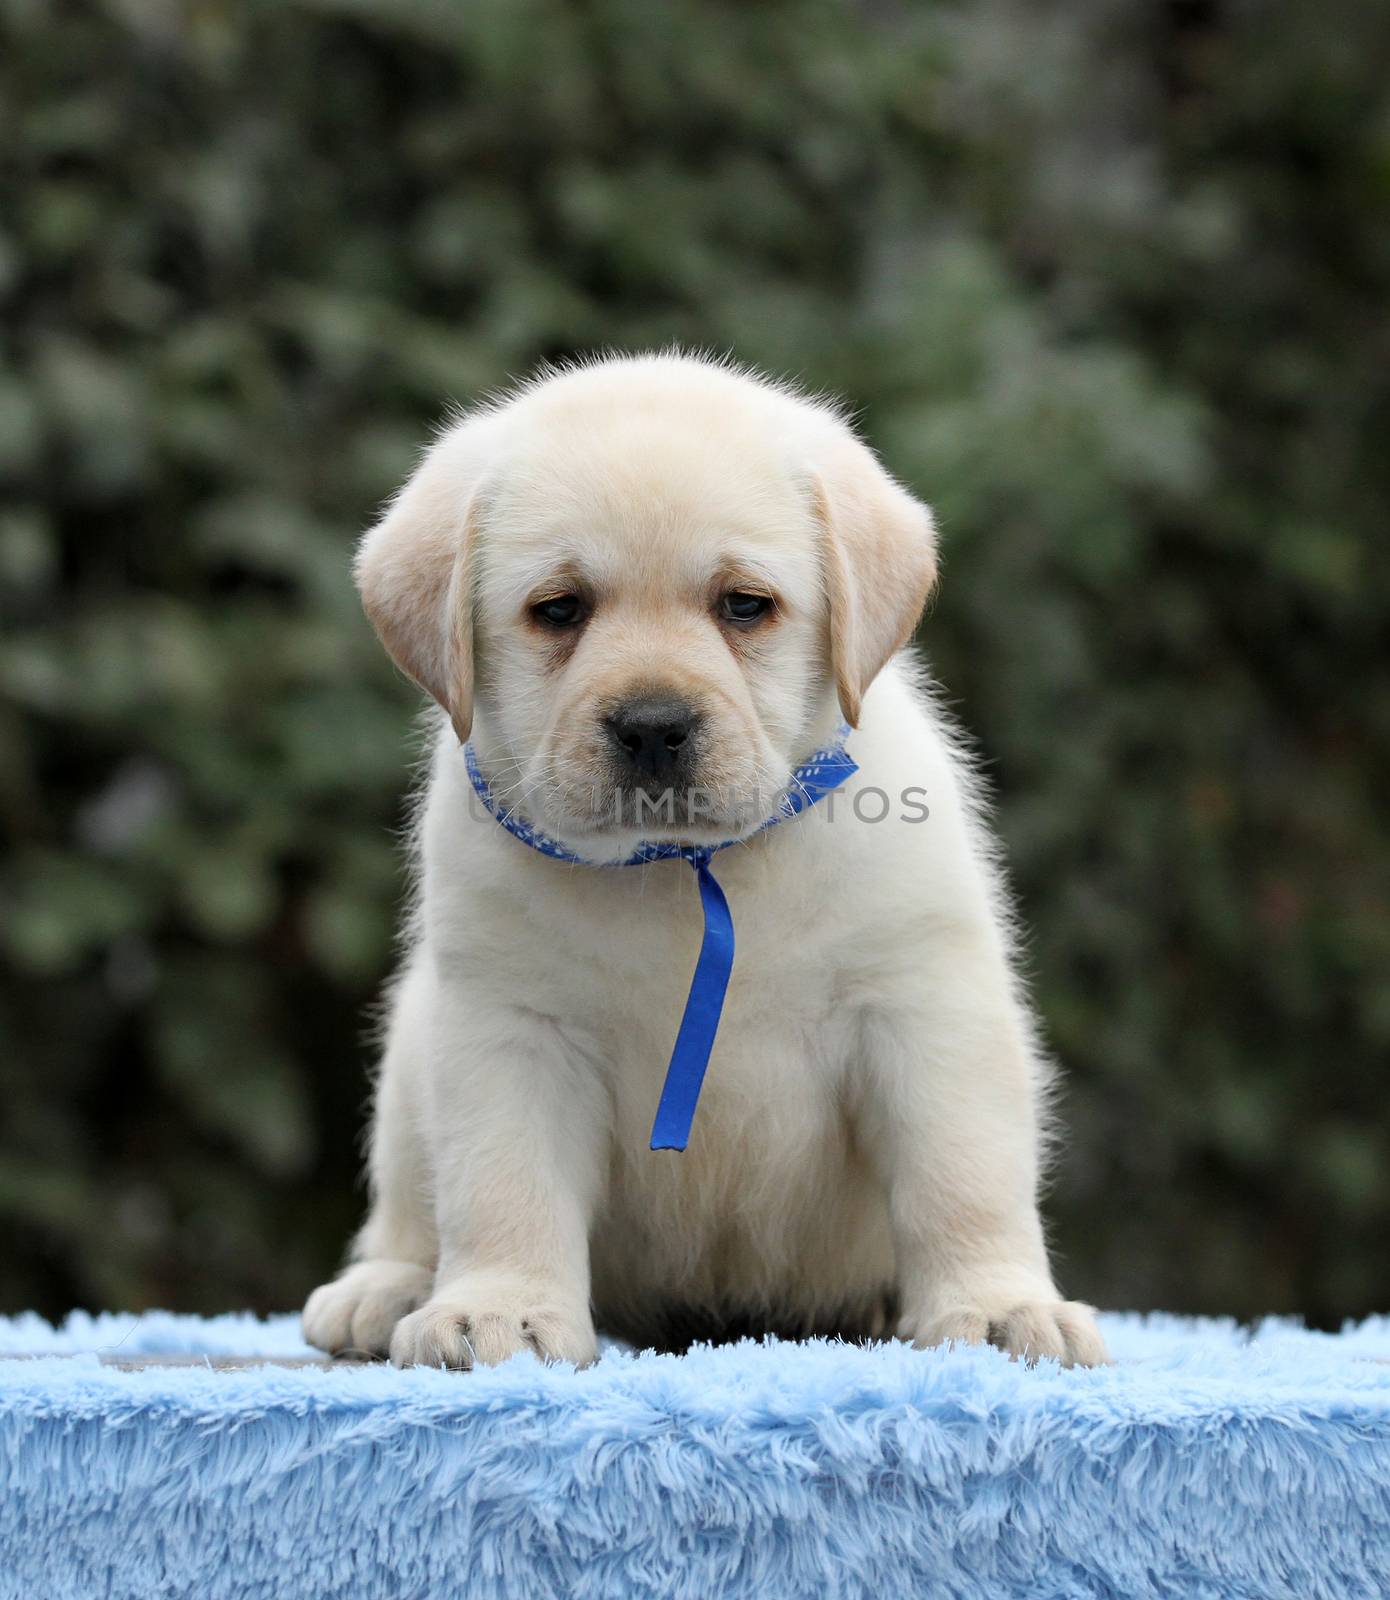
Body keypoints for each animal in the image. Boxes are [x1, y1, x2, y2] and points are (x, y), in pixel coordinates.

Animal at [300, 356, 1106, 1369]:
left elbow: (961, 1176)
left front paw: (997, 1307)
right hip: (412, 1051)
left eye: (745, 605)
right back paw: (388, 1287)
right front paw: (500, 1311)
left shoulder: (923, 1009)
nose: (653, 726)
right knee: (411, 1206)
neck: (685, 869)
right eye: (558, 610)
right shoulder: (511, 1029)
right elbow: (503, 1186)